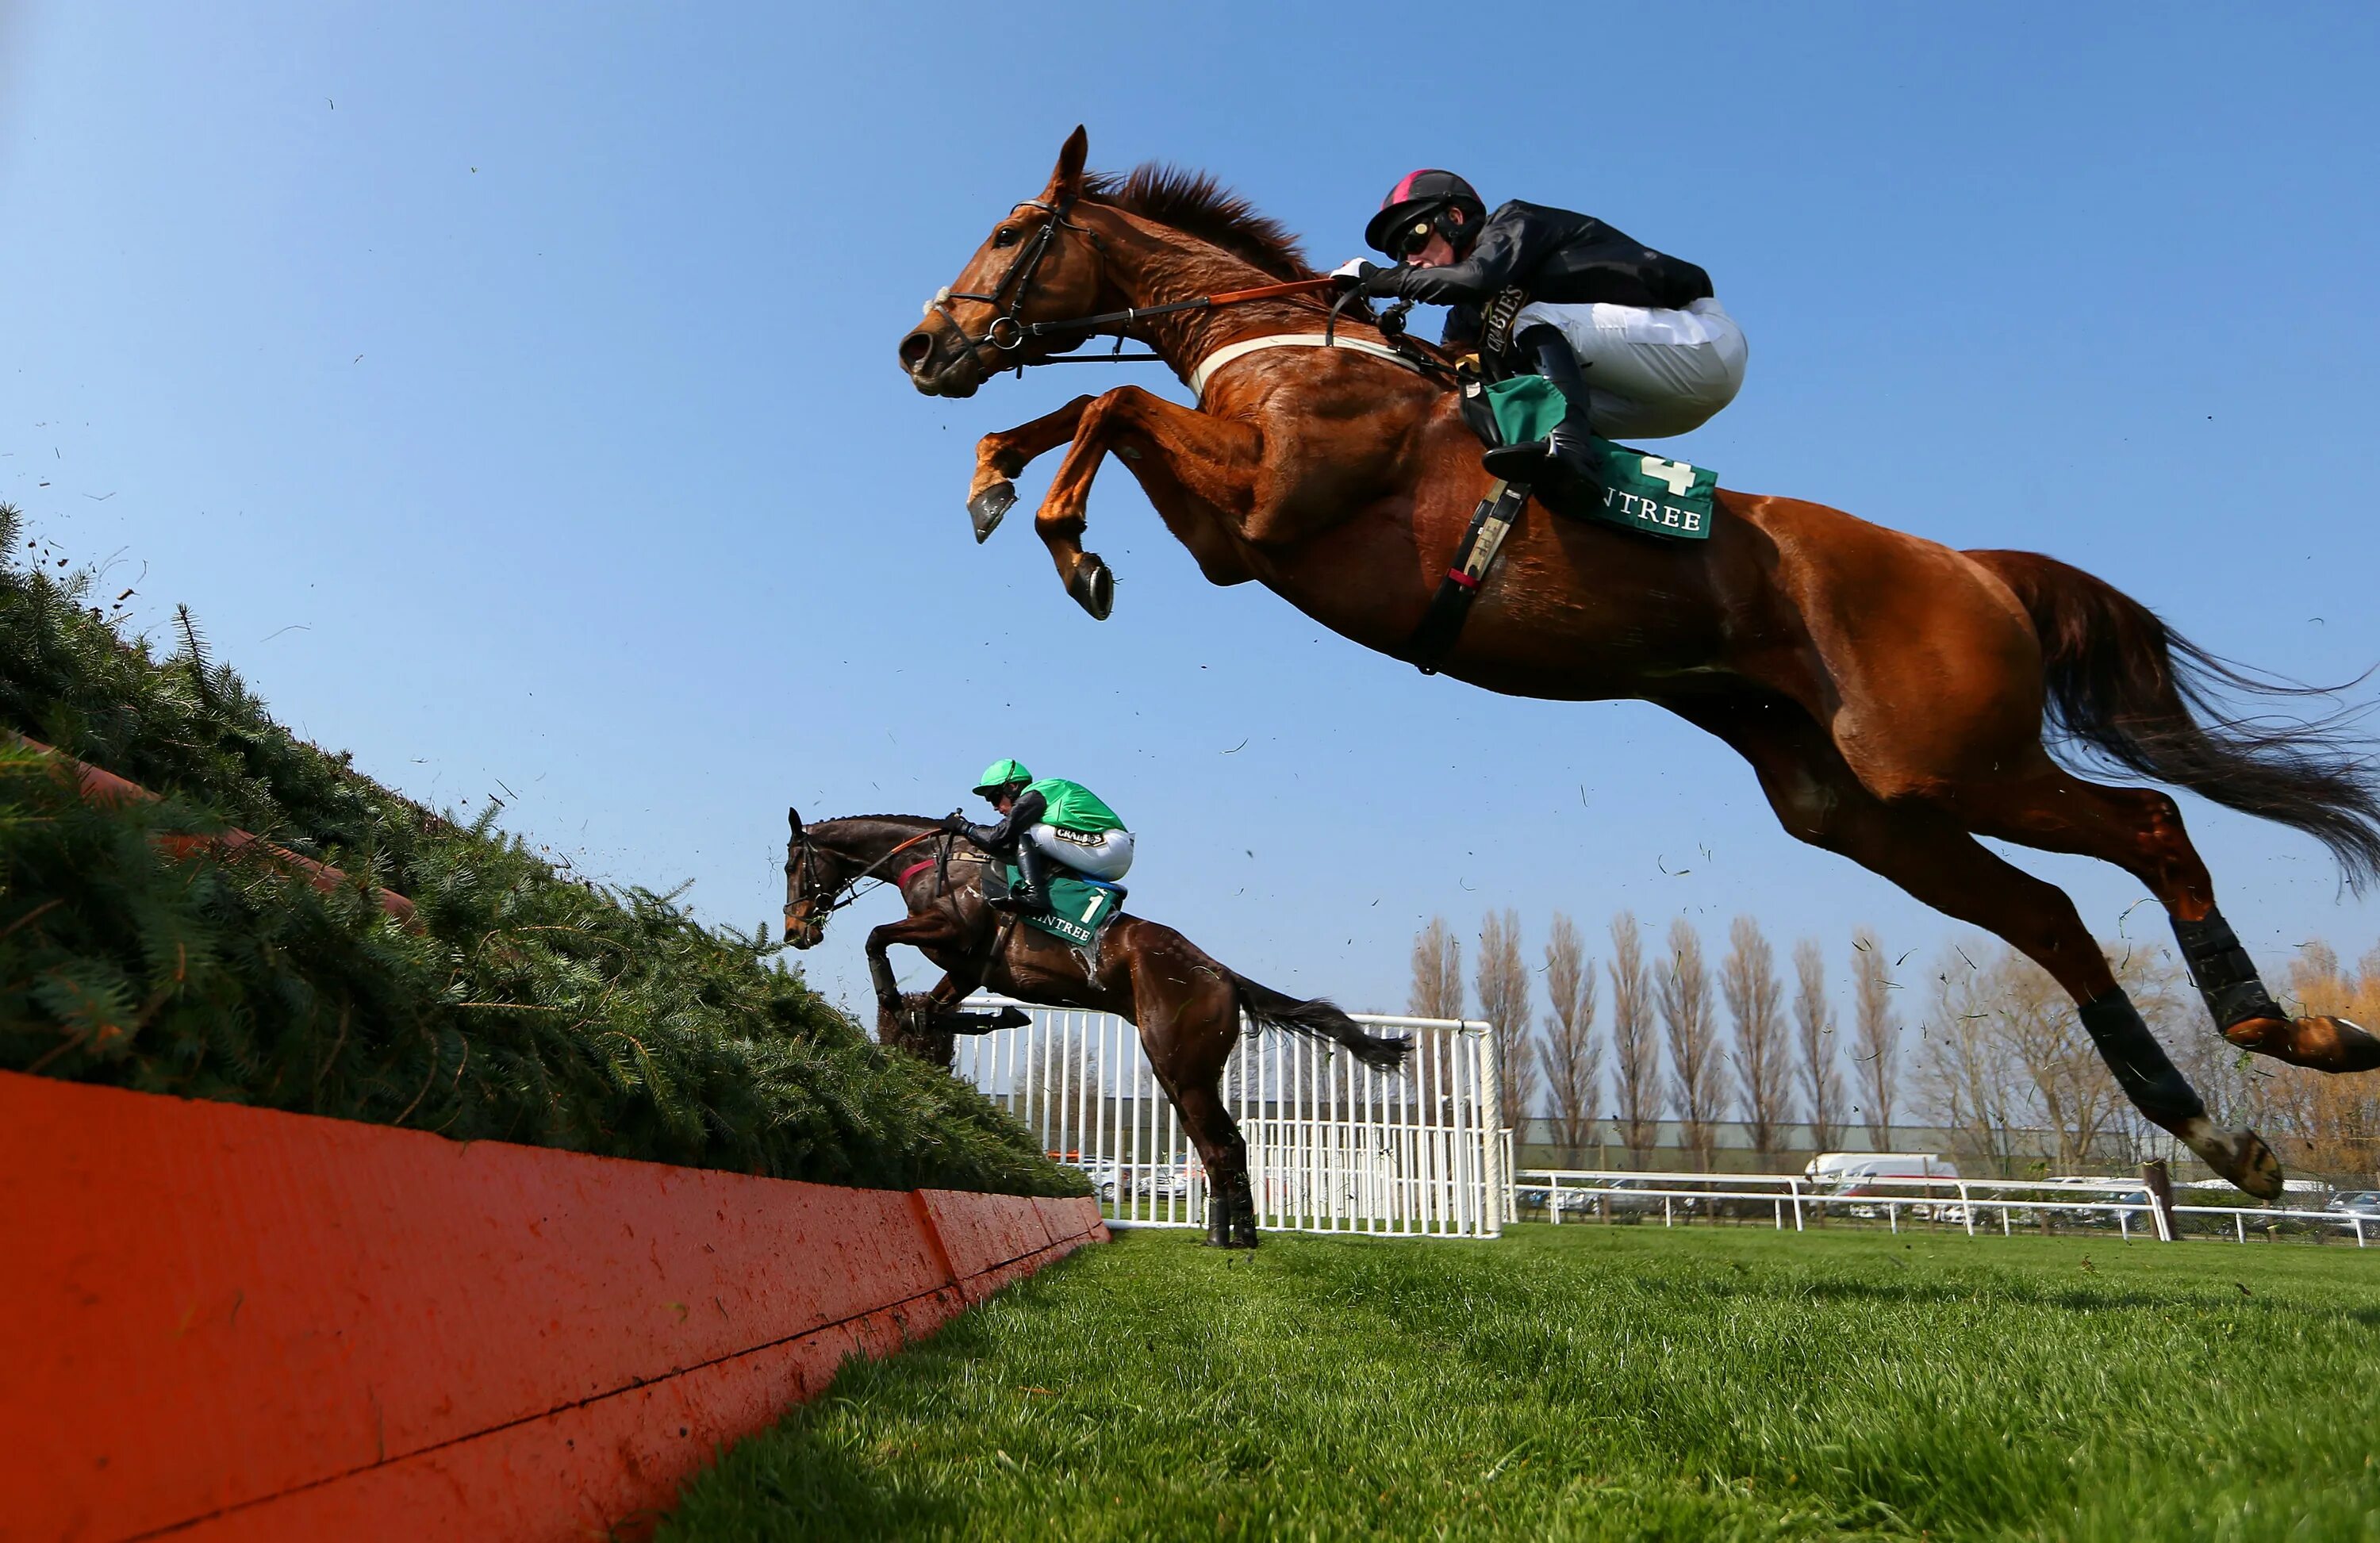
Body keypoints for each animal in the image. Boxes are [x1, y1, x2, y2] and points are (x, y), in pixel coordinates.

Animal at [781, 814, 1409, 1247]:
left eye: (791, 865)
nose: (794, 931)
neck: (939, 863)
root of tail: (1224, 975)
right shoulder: (966, 969)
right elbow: (934, 1008)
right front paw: (954, 1023)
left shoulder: (954, 937)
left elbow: (877, 937)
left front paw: (895, 999)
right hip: (1178, 1074)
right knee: (1215, 1144)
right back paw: (1221, 1236)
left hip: (1182, 1065)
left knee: (1226, 1144)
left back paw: (1243, 1239)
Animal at [890, 126, 2380, 1199]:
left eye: (1013, 232)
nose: (922, 344)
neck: (1279, 347)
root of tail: (1970, 565)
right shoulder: (1237, 533)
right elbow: (1087, 405)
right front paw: (992, 479)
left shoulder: (1262, 515)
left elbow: (1111, 400)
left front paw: (1065, 538)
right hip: (1859, 804)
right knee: (2055, 916)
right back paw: (2222, 1132)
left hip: (1948, 756)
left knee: (2151, 824)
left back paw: (2287, 1036)